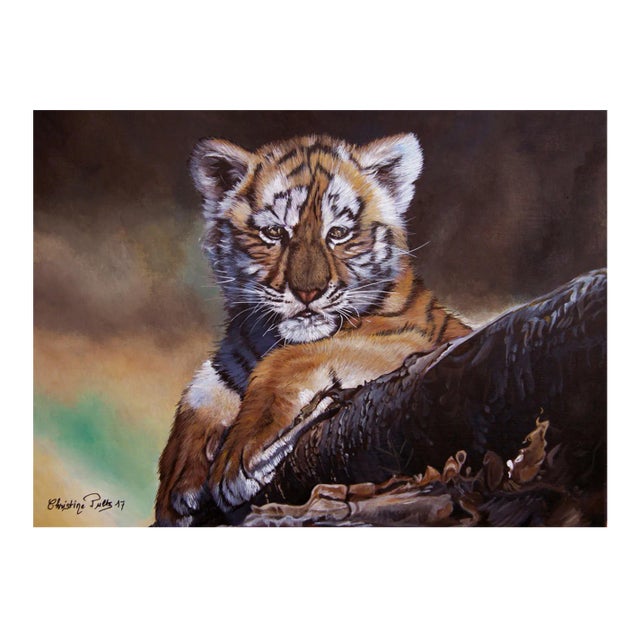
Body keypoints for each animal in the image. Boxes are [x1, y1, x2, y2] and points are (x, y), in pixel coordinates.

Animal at [154, 132, 471, 526]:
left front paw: (239, 456)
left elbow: (294, 358)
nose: (308, 292)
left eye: (338, 233)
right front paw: (178, 481)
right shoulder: (232, 358)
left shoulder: (407, 337)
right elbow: (199, 392)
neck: (268, 337)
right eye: (274, 232)